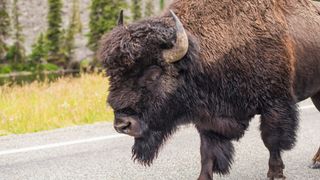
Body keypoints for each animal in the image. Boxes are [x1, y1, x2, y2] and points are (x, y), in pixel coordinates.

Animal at [99, 0, 318, 179]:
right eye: (112, 75)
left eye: (154, 72)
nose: (122, 125)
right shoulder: (208, 118)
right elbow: (207, 152)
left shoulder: (275, 104)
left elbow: (272, 140)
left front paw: (275, 173)